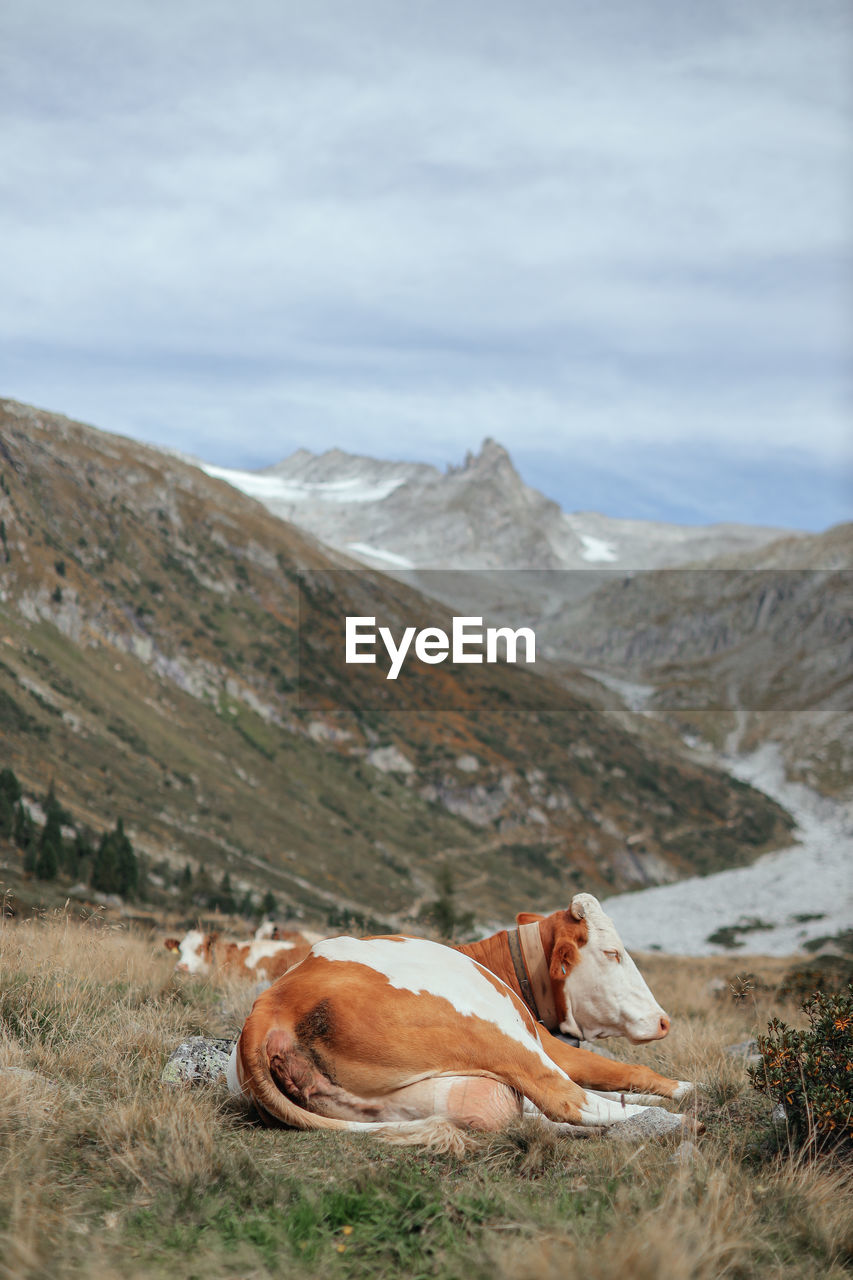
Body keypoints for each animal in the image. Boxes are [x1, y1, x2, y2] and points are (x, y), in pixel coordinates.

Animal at [225, 890, 691, 1152]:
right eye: (612, 952)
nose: (663, 1021)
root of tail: (271, 1003)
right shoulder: (547, 1041)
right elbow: (621, 1070)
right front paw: (688, 1089)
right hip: (494, 1032)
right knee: (569, 1100)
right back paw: (679, 1121)